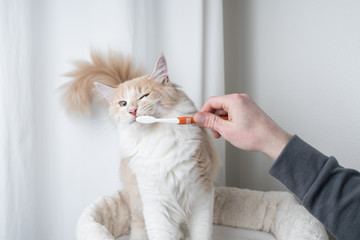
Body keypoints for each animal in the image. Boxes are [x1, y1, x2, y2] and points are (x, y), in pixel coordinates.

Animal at [62, 51, 219, 240]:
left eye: (144, 96)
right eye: (123, 103)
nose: (132, 111)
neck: (156, 139)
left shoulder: (201, 193)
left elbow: (202, 232)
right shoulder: (154, 200)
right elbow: (160, 233)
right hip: (138, 204)